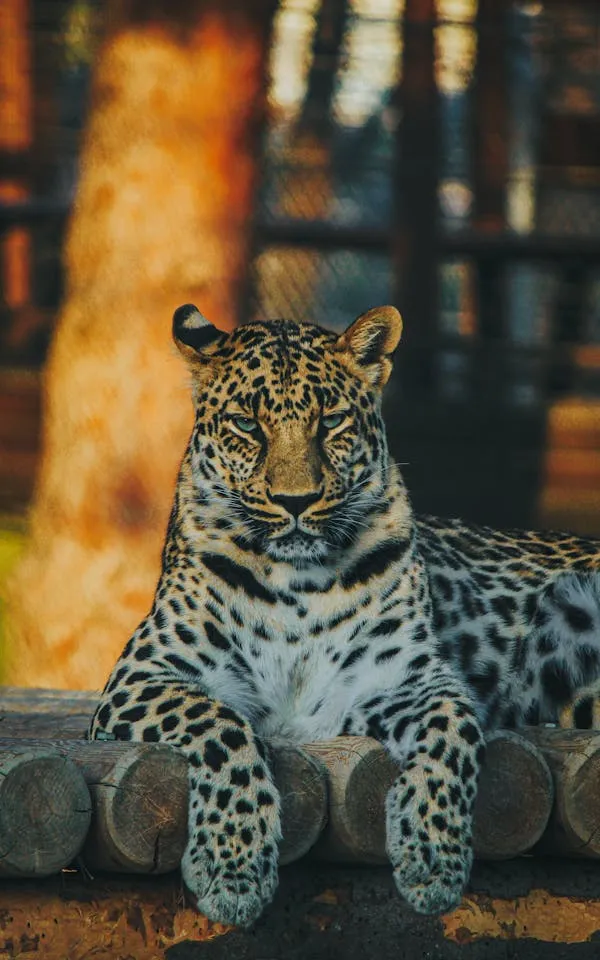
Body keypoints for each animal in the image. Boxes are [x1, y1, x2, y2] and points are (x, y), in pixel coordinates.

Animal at [90, 302, 600, 928]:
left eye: (330, 421)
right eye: (247, 425)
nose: (295, 502)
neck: (296, 587)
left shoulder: (405, 680)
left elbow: (451, 737)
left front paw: (433, 860)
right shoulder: (142, 677)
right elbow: (221, 727)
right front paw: (233, 867)